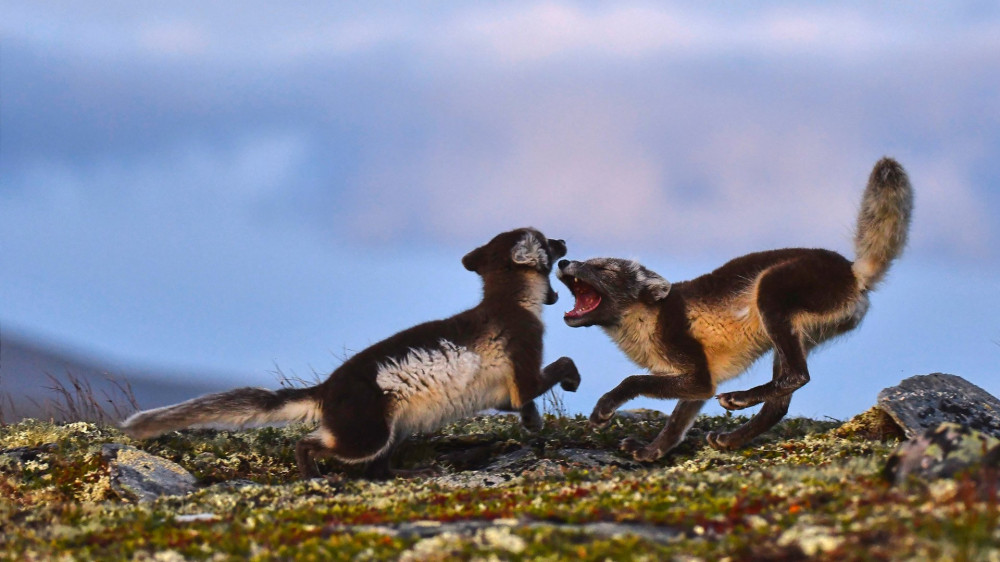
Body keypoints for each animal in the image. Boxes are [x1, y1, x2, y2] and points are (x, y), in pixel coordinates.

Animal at [124, 228, 580, 476]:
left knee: (379, 472)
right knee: (314, 445)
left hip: (395, 428)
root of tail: (326, 389)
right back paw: (314, 476)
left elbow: (518, 401)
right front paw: (567, 387)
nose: (563, 239)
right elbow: (554, 369)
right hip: (368, 431)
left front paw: (532, 422)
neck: (510, 302)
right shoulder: (525, 344)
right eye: (547, 240)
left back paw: (416, 471)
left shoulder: (500, 390)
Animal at [556, 158, 916, 460]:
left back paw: (739, 399)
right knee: (781, 402)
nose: (562, 261)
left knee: (798, 375)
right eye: (588, 262)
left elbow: (634, 380)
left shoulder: (696, 372)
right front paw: (650, 453)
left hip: (772, 291)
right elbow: (675, 424)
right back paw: (732, 439)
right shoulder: (699, 383)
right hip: (797, 334)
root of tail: (854, 272)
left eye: (603, 269)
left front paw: (605, 409)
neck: (646, 318)